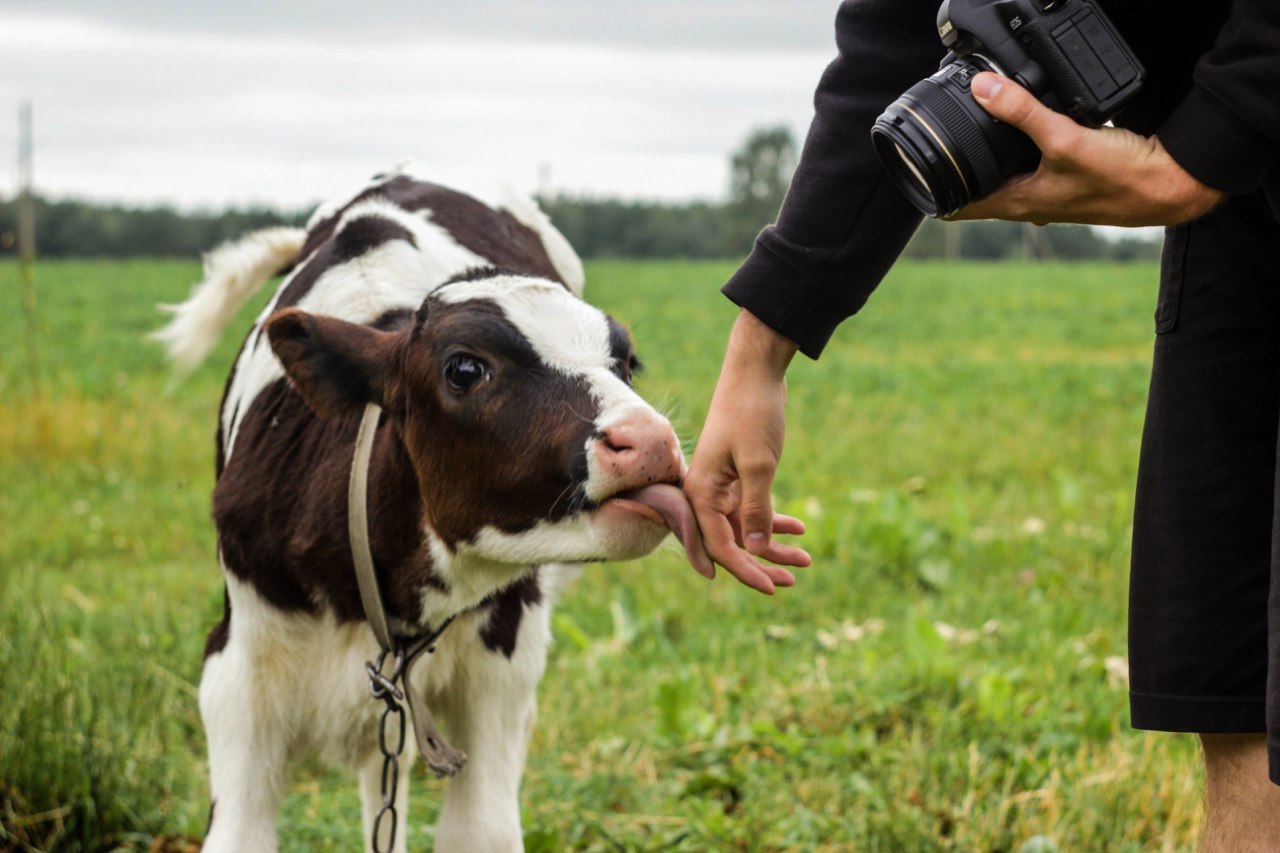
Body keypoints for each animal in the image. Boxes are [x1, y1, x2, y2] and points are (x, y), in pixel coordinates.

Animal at [158, 166, 711, 850]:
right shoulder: (236, 678)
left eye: (626, 364)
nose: (651, 441)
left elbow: (479, 829)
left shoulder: (502, 669)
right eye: (465, 368)